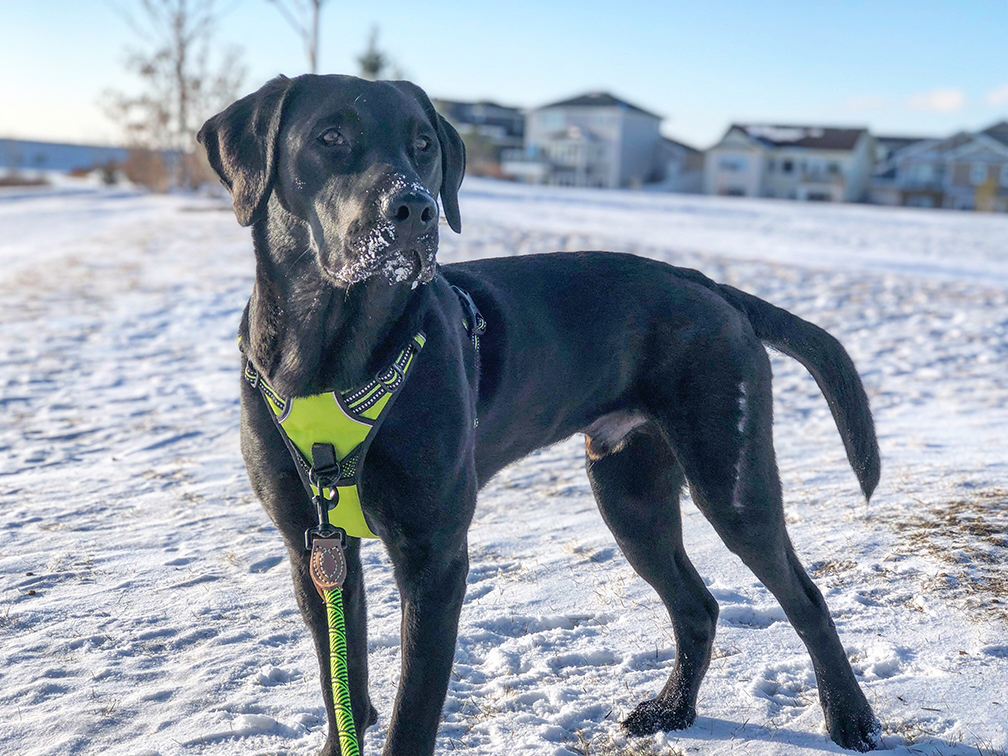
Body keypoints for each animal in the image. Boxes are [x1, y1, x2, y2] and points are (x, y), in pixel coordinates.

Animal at [198, 74, 883, 753]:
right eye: (330, 137)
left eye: (424, 145)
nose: (415, 208)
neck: (329, 361)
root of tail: (709, 285)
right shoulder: (313, 549)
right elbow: (344, 690)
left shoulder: (434, 558)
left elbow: (411, 714)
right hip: (630, 495)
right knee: (697, 607)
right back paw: (671, 710)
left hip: (731, 482)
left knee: (807, 599)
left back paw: (851, 720)